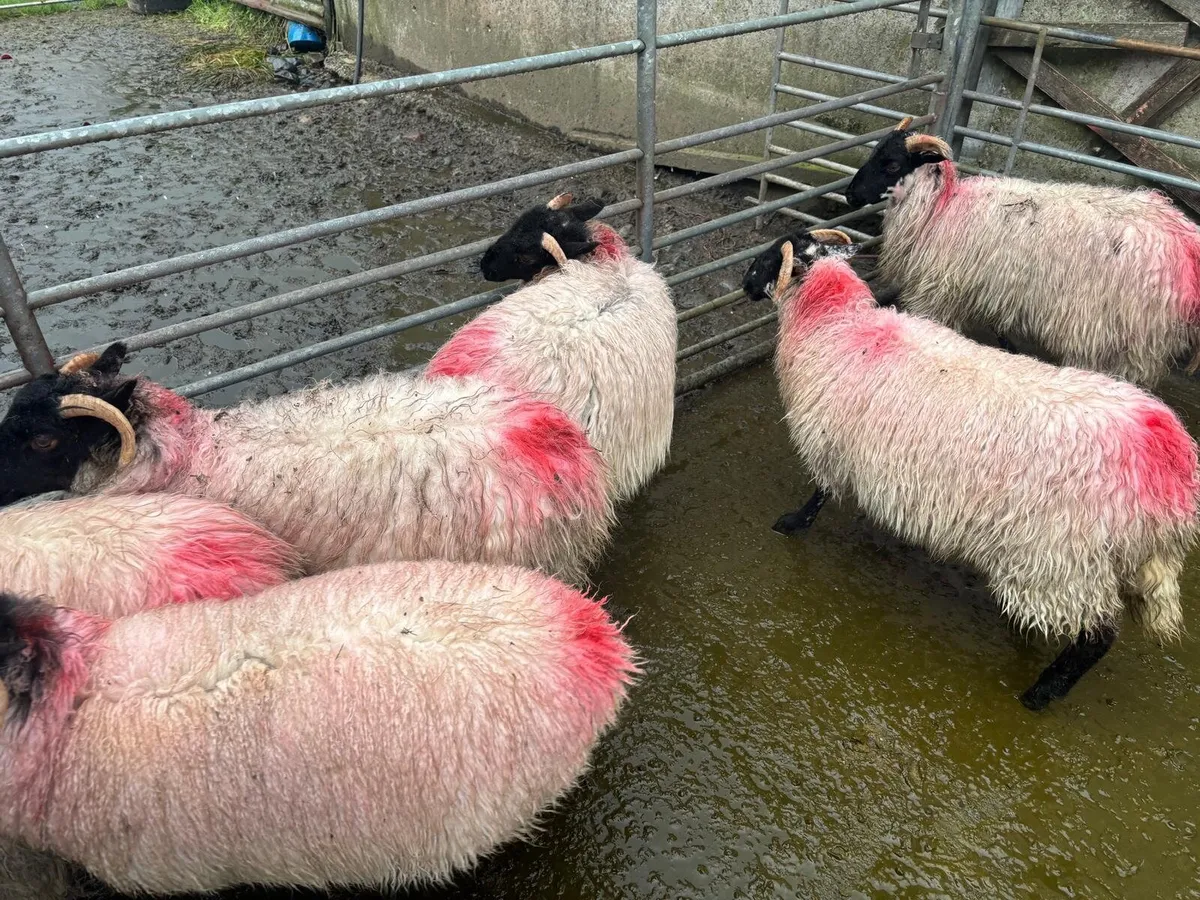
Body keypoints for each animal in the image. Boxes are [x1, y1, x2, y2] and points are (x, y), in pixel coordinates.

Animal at [742, 228, 1200, 710]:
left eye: (767, 258)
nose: (743, 282)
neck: (839, 325)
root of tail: (1165, 455)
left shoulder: (830, 440)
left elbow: (819, 493)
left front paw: (791, 523)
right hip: (1102, 562)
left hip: (1061, 558)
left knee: (1097, 637)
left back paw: (1040, 693)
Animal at [843, 117, 1200, 386]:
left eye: (891, 165)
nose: (849, 195)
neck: (940, 208)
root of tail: (1185, 241)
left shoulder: (939, 290)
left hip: (1120, 332)